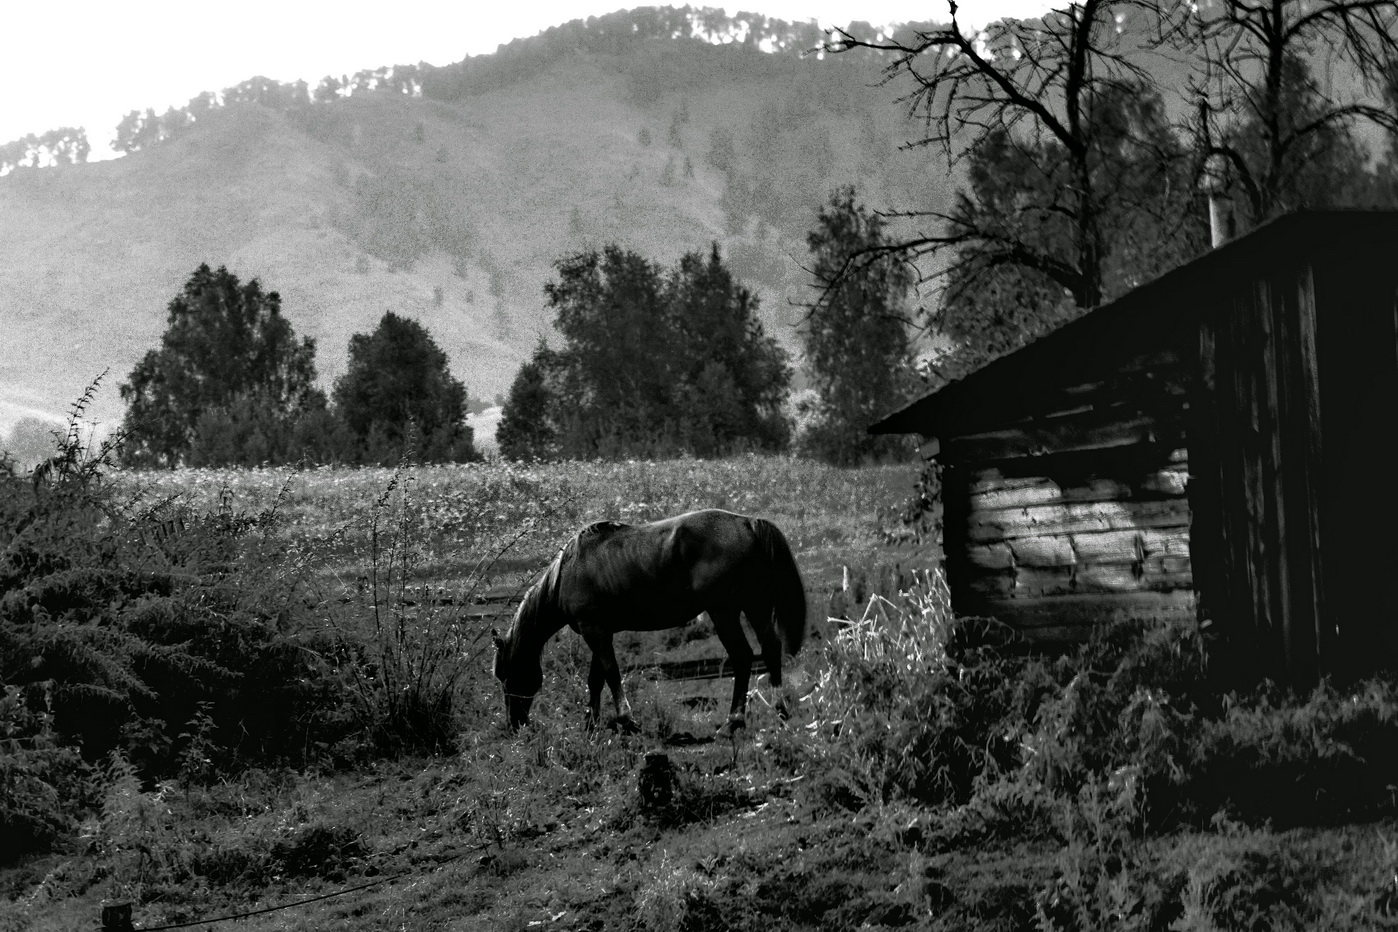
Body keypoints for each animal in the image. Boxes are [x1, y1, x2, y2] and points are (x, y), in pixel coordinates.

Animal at [492, 508, 807, 733]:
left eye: (506, 675)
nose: (515, 724)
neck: (568, 572)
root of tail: (749, 523)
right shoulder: (600, 631)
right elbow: (596, 679)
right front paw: (591, 725)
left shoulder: (594, 631)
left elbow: (611, 673)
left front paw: (625, 719)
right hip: (755, 606)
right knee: (770, 650)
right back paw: (780, 712)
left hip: (724, 613)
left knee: (742, 657)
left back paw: (734, 722)